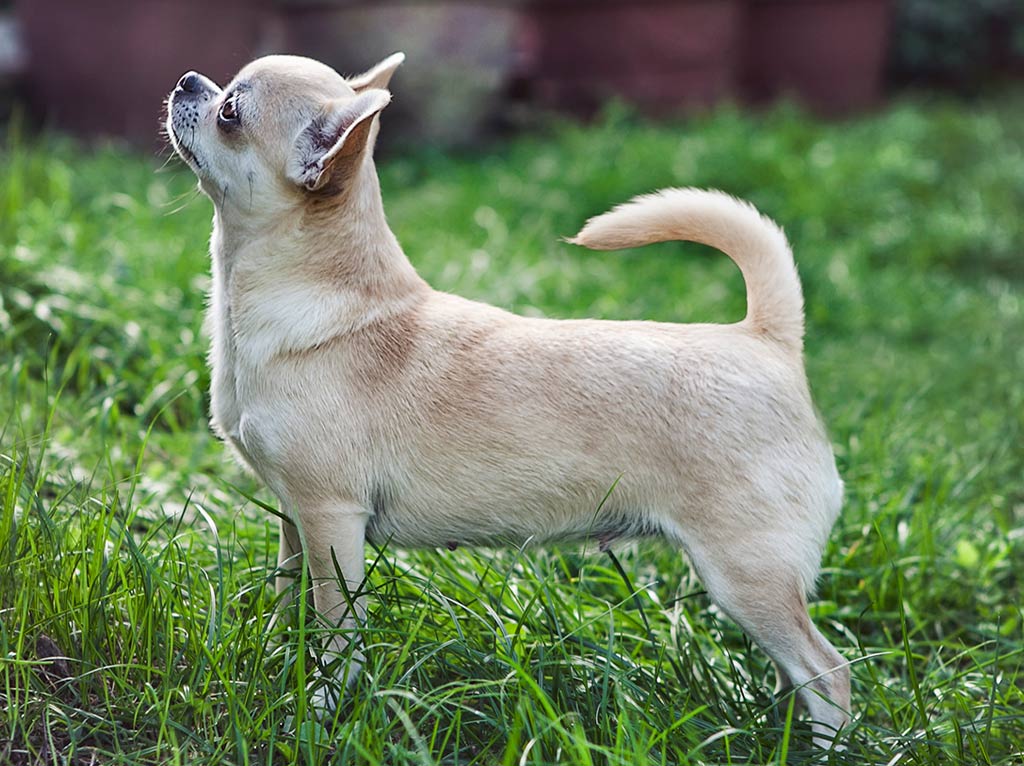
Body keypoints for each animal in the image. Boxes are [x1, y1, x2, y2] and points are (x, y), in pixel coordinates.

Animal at [167, 55, 851, 749]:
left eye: (231, 113)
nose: (188, 81)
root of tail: (766, 338)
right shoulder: (294, 518)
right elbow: (290, 601)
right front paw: (280, 663)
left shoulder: (332, 520)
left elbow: (338, 635)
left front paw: (320, 711)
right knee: (796, 674)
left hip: (744, 574)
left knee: (827, 673)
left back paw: (823, 746)